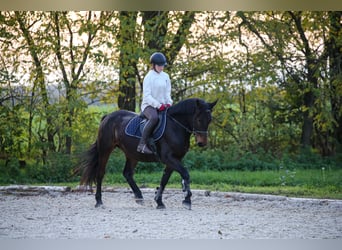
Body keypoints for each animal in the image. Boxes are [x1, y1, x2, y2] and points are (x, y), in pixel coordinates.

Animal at [77, 97, 216, 209]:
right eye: (198, 119)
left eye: (209, 120)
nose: (202, 143)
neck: (176, 126)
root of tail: (108, 116)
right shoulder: (168, 158)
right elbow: (185, 174)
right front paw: (187, 199)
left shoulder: (175, 159)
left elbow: (165, 179)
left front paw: (159, 201)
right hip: (105, 150)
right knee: (100, 173)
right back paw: (99, 201)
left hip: (132, 154)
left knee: (127, 173)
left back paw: (139, 197)